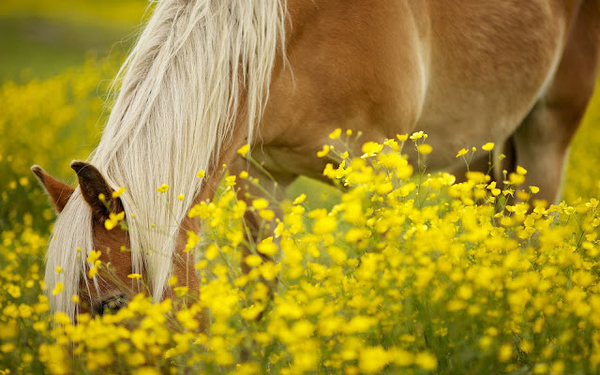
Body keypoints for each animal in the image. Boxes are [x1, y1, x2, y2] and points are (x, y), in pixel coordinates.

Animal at [34, 0, 600, 320]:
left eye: (109, 306)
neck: (292, 33)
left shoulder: (378, 173)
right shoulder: (260, 177)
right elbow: (261, 296)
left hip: (547, 134)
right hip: (478, 150)